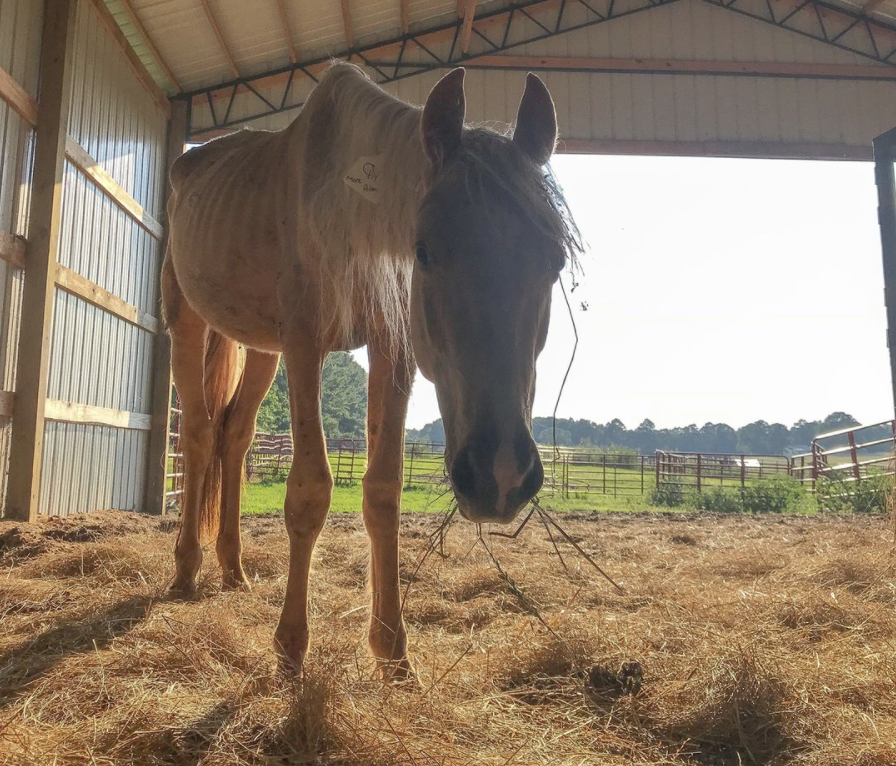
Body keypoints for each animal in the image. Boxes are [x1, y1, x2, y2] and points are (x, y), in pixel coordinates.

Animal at [162, 62, 581, 675]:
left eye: (554, 259)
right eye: (424, 251)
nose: (500, 475)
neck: (348, 206)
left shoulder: (392, 347)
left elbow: (383, 493)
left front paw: (392, 652)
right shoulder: (304, 344)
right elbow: (309, 490)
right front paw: (291, 648)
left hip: (261, 347)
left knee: (233, 437)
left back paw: (233, 570)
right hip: (187, 321)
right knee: (196, 434)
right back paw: (186, 570)